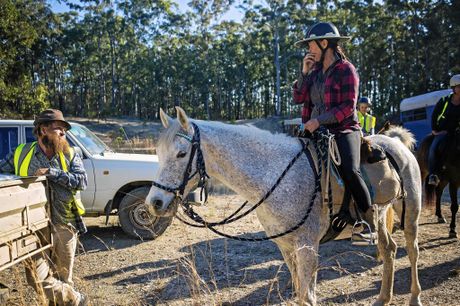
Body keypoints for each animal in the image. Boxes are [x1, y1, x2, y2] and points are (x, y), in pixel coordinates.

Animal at [146, 107, 422, 306]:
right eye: (158, 153)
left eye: (182, 154)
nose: (154, 202)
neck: (277, 174)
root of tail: (393, 141)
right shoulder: (286, 246)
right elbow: (300, 292)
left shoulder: (307, 246)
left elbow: (307, 297)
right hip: (379, 215)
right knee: (389, 249)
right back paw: (383, 298)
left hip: (410, 211)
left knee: (412, 250)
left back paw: (415, 297)